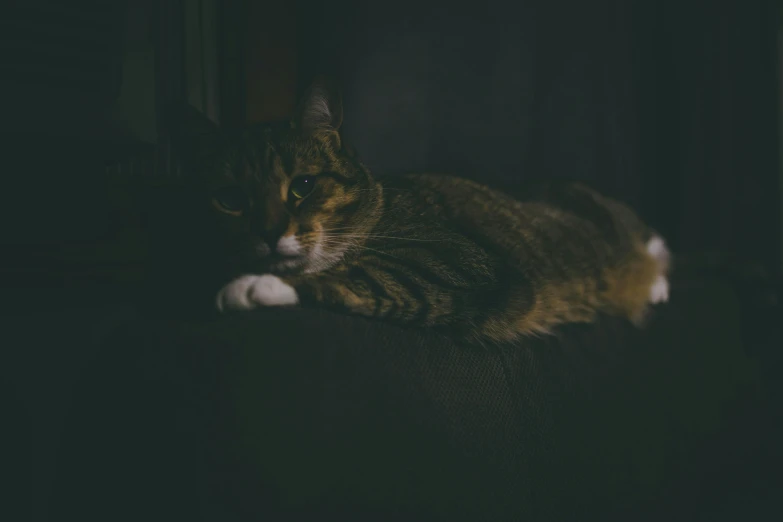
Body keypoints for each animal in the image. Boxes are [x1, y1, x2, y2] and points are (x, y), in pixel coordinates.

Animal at [176, 76, 668, 342]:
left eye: (303, 186)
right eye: (230, 200)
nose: (267, 232)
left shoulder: (454, 260)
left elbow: (364, 273)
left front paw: (254, 285)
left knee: (656, 246)